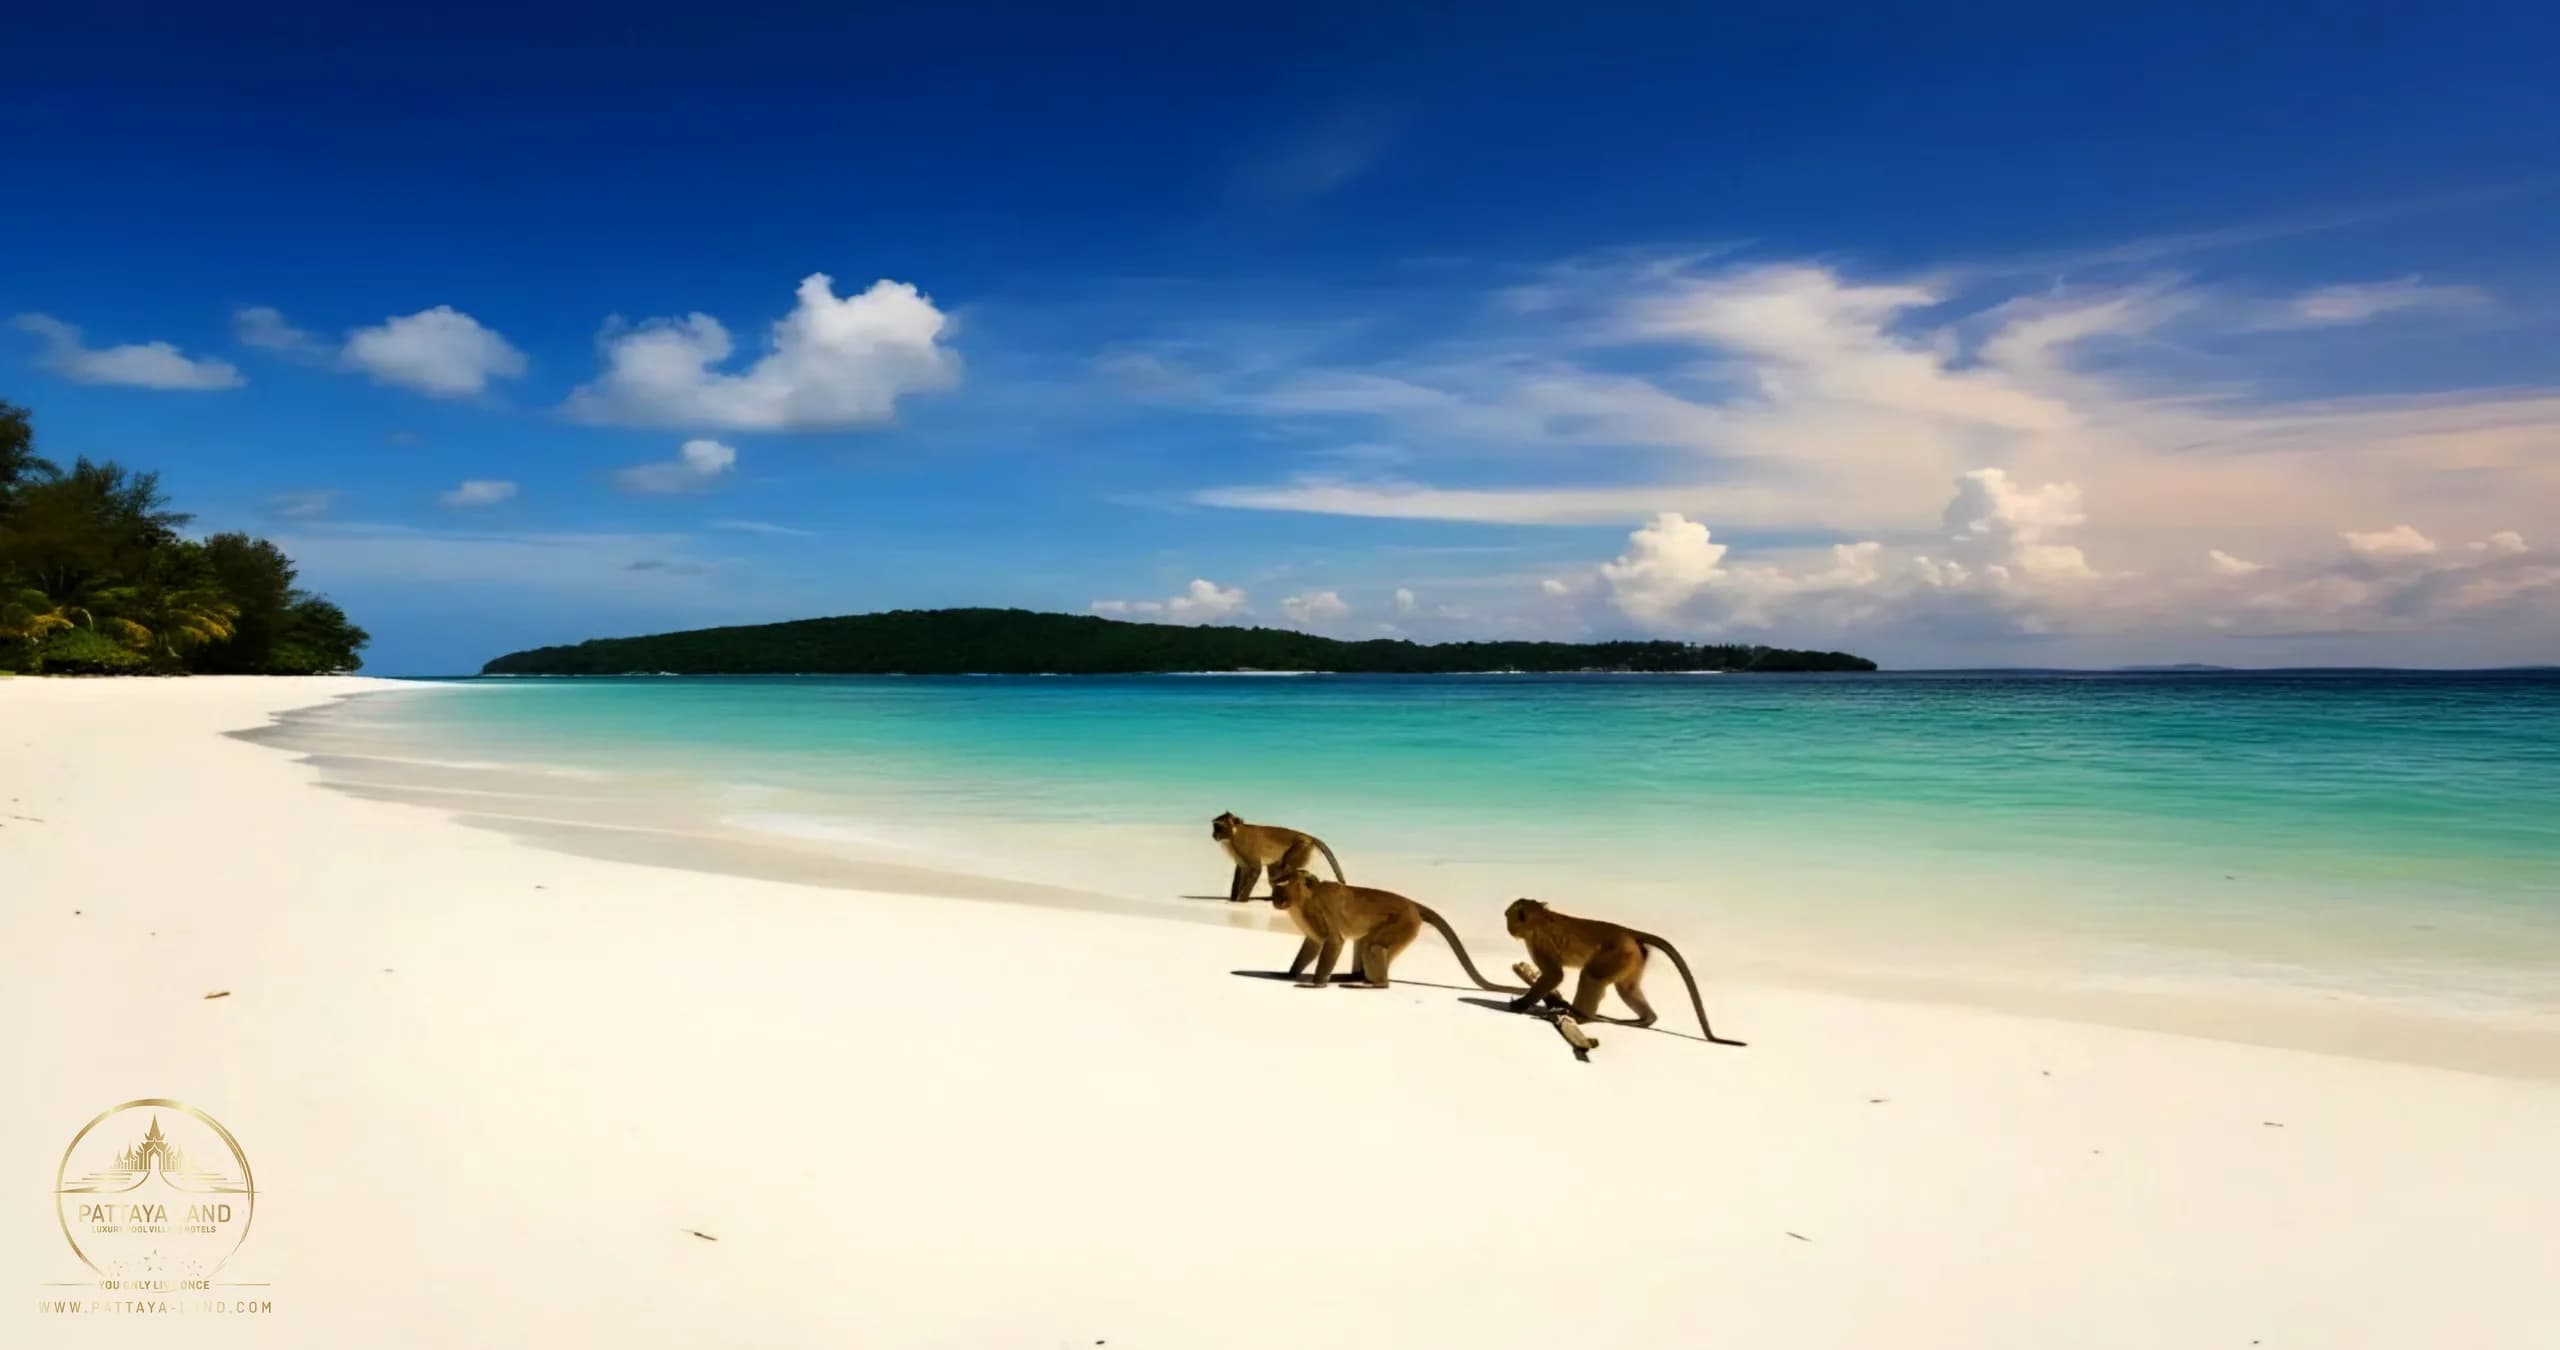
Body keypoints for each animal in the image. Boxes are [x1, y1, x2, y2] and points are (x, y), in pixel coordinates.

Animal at [1210, 811, 1345, 902]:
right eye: (1215, 826)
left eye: (1219, 827)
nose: (1213, 834)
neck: (1233, 835)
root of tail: (1308, 836)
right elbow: (1241, 870)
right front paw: (1233, 898)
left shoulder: (1244, 846)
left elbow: (1255, 869)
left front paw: (1241, 900)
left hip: (1301, 847)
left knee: (1287, 868)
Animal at [1269, 869, 1519, 992]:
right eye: (1275, 889)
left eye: (1283, 888)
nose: (1276, 899)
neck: (1303, 901)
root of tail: (1411, 903)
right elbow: (1313, 943)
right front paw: (1289, 973)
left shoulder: (1320, 909)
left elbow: (1334, 941)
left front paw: (1316, 983)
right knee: (1366, 942)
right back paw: (1359, 978)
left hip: (1405, 922)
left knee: (1373, 946)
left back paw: (1376, 984)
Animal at [1502, 898, 1746, 1046]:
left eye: (1509, 916)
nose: (1507, 924)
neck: (1540, 917)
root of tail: (1627, 932)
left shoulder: (1538, 942)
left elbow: (1555, 975)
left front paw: (1521, 1004)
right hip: (1632, 957)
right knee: (1626, 988)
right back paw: (1645, 1019)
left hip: (1619, 953)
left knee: (1591, 976)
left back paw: (1579, 1017)